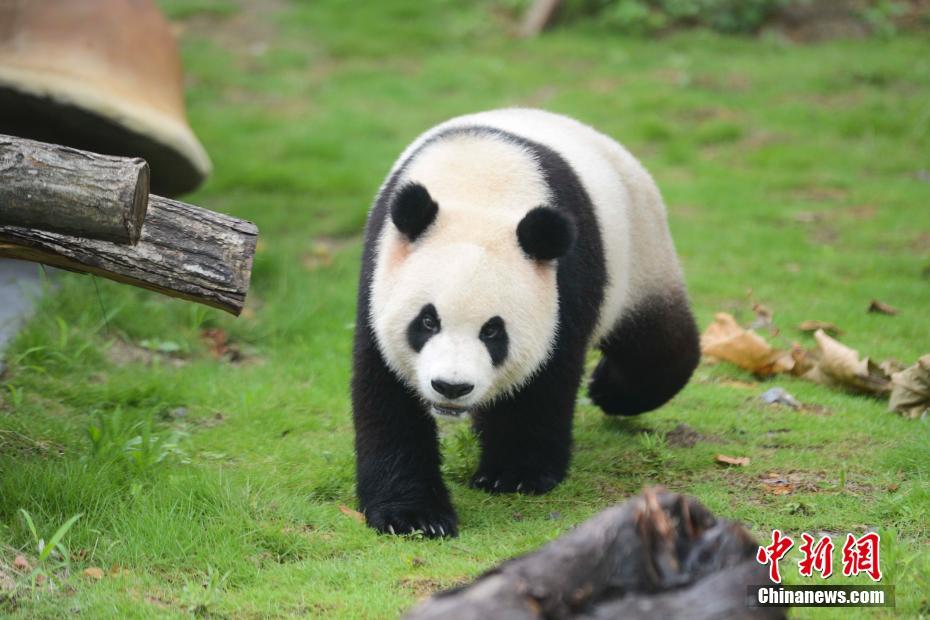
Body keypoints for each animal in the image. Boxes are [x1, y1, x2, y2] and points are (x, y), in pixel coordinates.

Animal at [352, 109, 700, 536]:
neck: (479, 180)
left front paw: (514, 474)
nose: (451, 387)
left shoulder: (565, 280)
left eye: (492, 330)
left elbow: (543, 381)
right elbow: (387, 395)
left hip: (640, 252)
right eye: (428, 321)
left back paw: (609, 388)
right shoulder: (380, 277)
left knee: (656, 342)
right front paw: (415, 516)